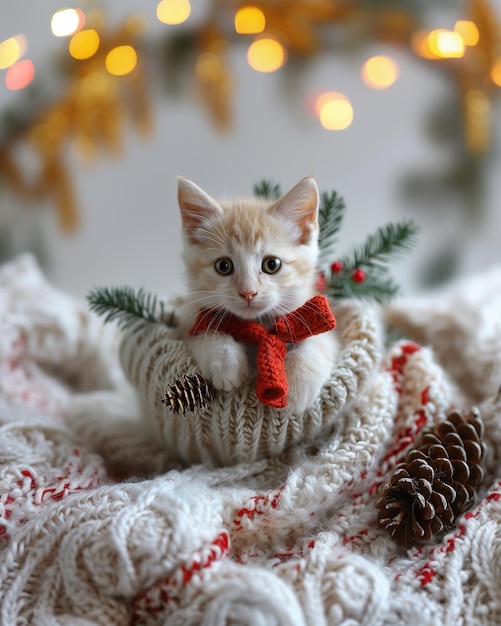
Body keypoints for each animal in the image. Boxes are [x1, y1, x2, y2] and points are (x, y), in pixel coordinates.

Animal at [177, 173, 340, 412]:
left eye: (272, 264)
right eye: (223, 266)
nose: (248, 293)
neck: (259, 325)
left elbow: (319, 341)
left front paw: (296, 385)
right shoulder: (188, 320)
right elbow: (207, 331)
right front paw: (225, 362)